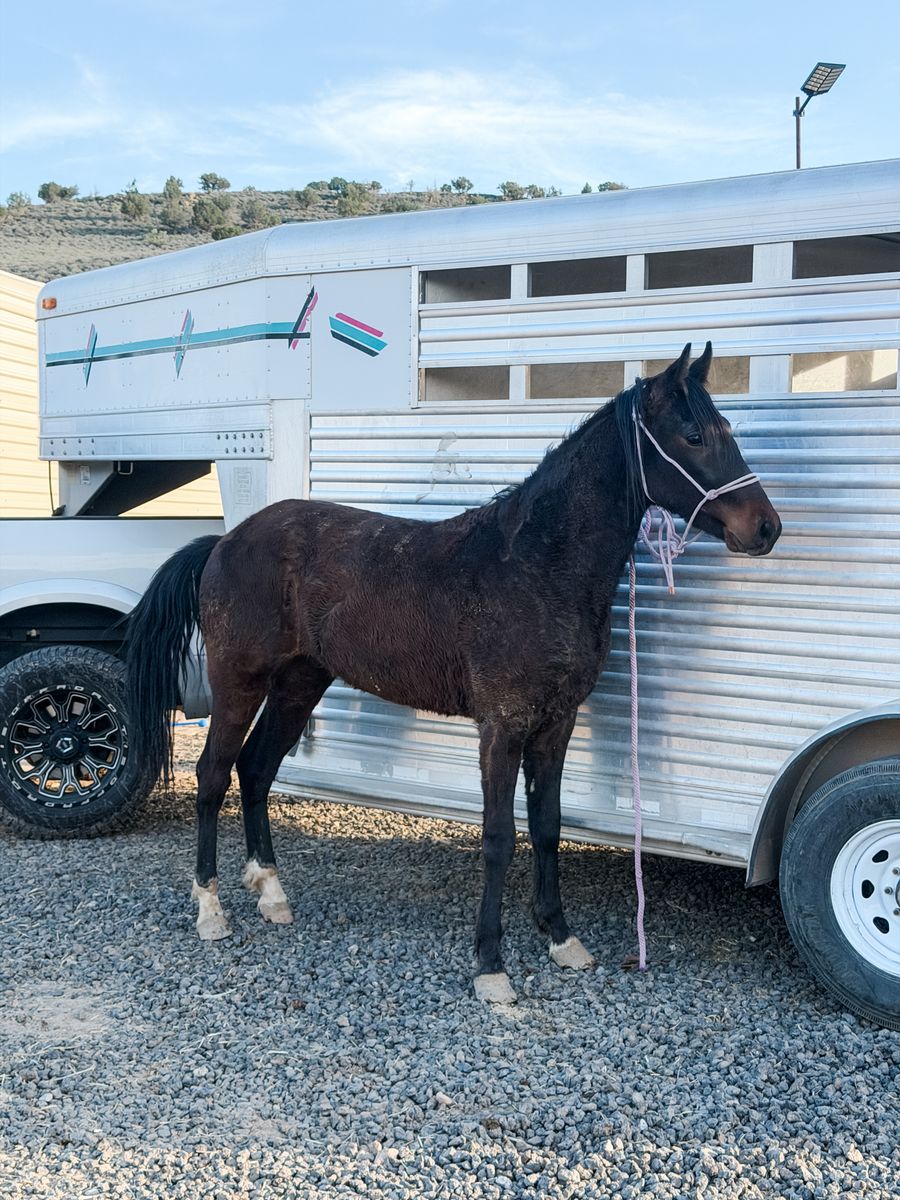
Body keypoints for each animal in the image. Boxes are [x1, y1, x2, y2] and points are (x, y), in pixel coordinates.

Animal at [126, 342, 781, 1004]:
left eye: (727, 430)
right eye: (694, 435)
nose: (765, 527)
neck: (535, 565)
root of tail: (224, 541)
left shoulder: (556, 724)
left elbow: (547, 826)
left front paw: (561, 938)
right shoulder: (501, 728)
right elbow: (499, 839)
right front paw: (491, 966)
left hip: (299, 684)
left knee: (257, 770)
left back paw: (272, 893)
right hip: (240, 681)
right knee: (214, 776)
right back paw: (211, 910)